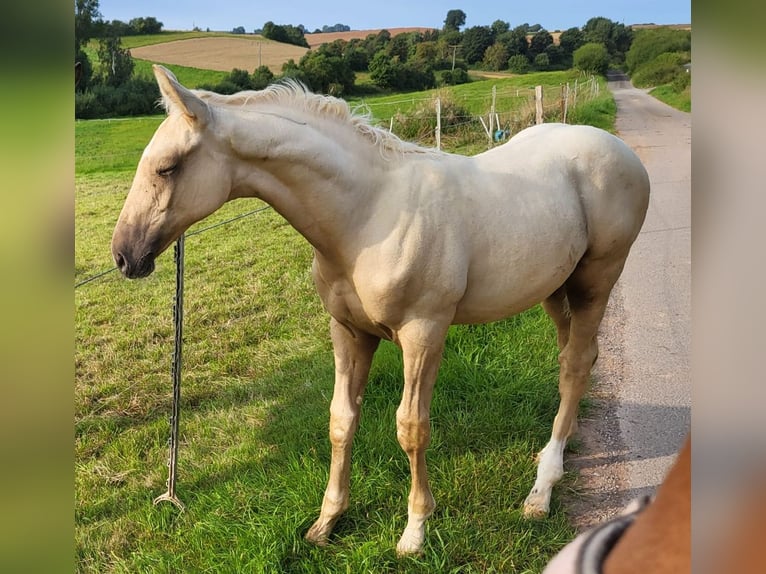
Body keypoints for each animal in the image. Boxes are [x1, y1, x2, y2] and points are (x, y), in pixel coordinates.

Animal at [114, 66, 652, 560]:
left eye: (167, 168)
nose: (123, 255)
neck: (368, 214)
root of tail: (618, 150)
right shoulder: (349, 331)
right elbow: (341, 420)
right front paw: (326, 522)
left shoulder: (423, 333)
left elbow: (411, 428)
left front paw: (415, 531)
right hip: (556, 288)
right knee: (574, 361)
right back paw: (552, 451)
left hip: (596, 282)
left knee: (576, 364)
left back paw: (541, 491)